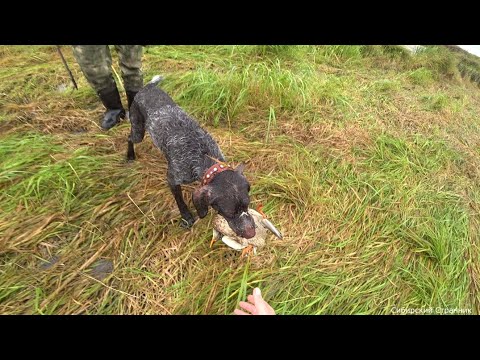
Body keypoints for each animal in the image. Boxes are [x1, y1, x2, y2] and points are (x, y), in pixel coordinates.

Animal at [125, 76, 256, 239]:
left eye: (247, 205)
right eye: (229, 213)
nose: (251, 234)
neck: (202, 154)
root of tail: (147, 87)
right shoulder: (172, 179)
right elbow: (180, 201)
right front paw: (186, 217)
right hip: (138, 131)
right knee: (129, 138)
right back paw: (130, 155)